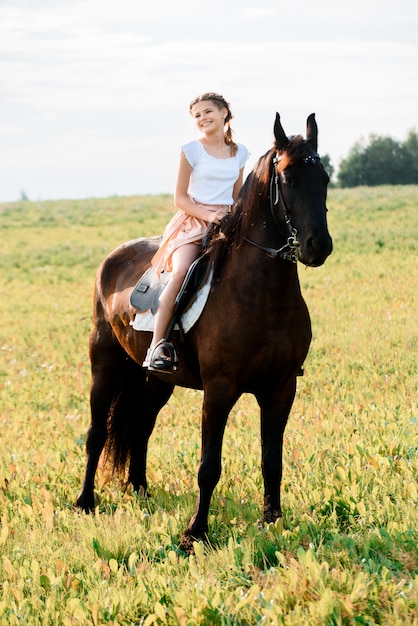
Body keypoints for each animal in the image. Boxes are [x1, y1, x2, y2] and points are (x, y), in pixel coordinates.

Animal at [76, 114, 334, 548]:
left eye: (325, 177)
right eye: (289, 178)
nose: (319, 246)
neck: (262, 294)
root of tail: (113, 258)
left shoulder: (281, 388)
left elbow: (272, 460)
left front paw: (273, 521)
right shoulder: (219, 389)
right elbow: (209, 465)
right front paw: (195, 533)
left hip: (157, 379)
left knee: (141, 427)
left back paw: (139, 490)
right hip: (105, 365)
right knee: (96, 432)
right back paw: (84, 502)